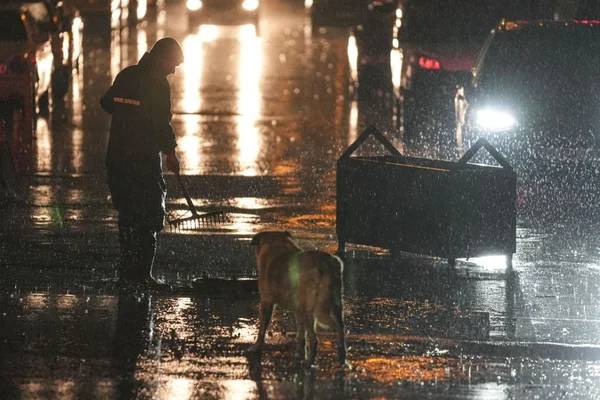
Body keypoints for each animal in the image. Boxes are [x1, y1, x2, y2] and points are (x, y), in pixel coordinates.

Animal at [248, 231, 346, 366]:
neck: (276, 245)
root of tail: (324, 264)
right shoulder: (297, 309)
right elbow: (300, 334)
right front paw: (299, 353)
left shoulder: (266, 302)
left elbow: (262, 329)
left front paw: (256, 347)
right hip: (335, 306)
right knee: (341, 330)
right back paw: (342, 358)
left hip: (309, 310)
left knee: (314, 338)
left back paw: (309, 362)